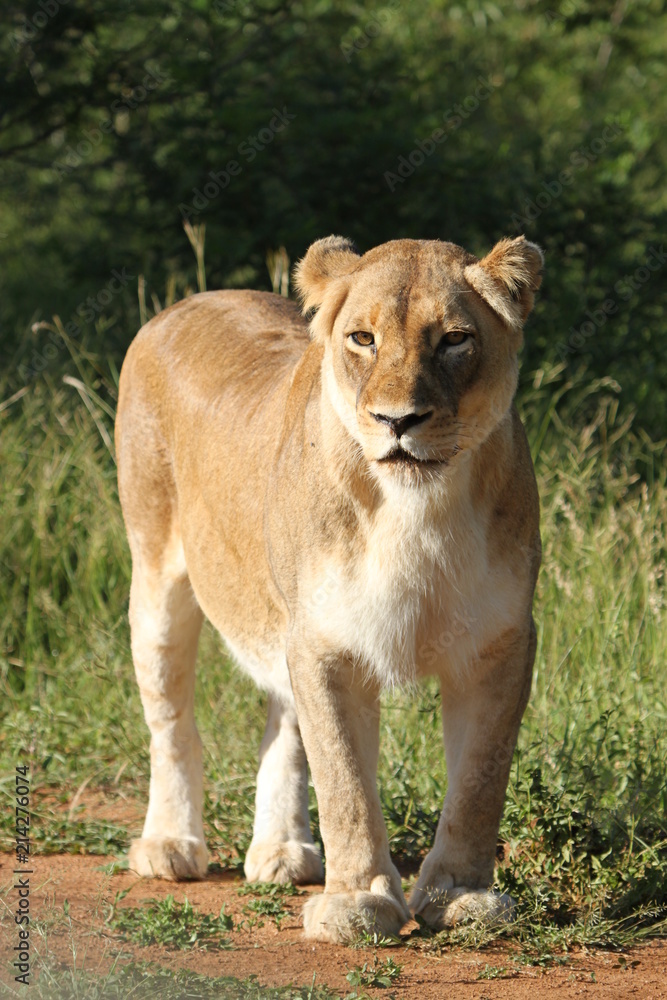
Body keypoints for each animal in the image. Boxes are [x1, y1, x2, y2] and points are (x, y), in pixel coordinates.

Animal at [115, 234, 542, 943]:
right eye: (363, 338)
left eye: (455, 339)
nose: (399, 420)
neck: (416, 510)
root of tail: (185, 302)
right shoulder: (326, 644)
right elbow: (344, 781)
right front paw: (357, 902)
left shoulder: (499, 643)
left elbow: (480, 781)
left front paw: (461, 897)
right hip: (156, 575)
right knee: (170, 720)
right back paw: (170, 844)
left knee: (284, 723)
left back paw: (283, 850)